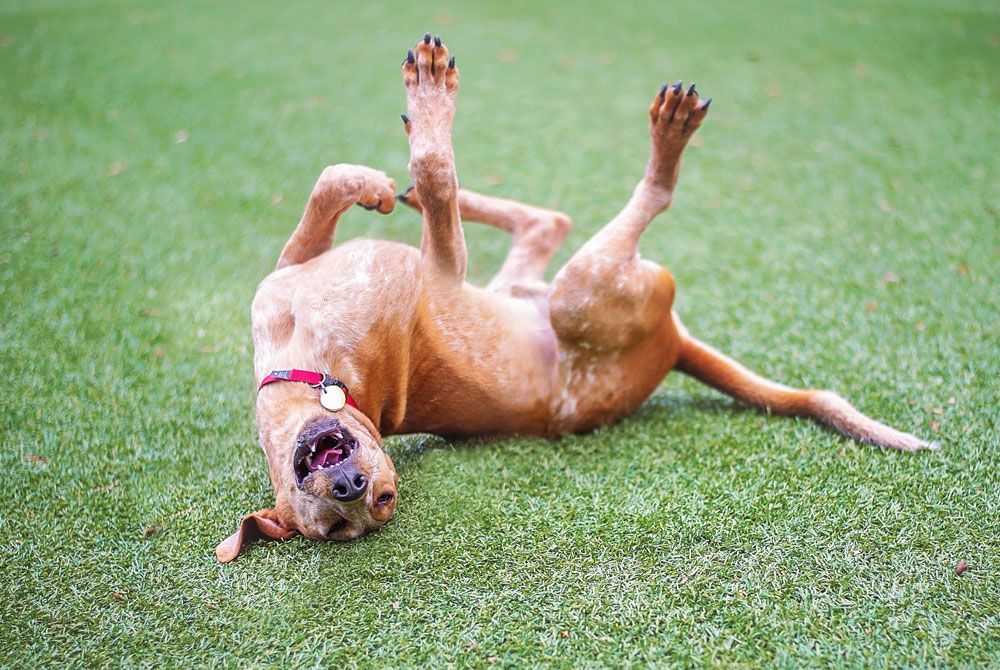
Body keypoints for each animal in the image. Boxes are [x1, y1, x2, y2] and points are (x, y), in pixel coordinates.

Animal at [217, 35, 928, 560]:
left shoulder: (319, 271)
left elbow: (345, 183)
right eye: (339, 524)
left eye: (382, 499)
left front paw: (374, 177)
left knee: (543, 219)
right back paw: (667, 141)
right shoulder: (440, 270)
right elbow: (433, 172)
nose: (352, 484)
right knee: (635, 201)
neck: (313, 375)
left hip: (534, 285)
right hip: (581, 293)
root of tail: (673, 347)